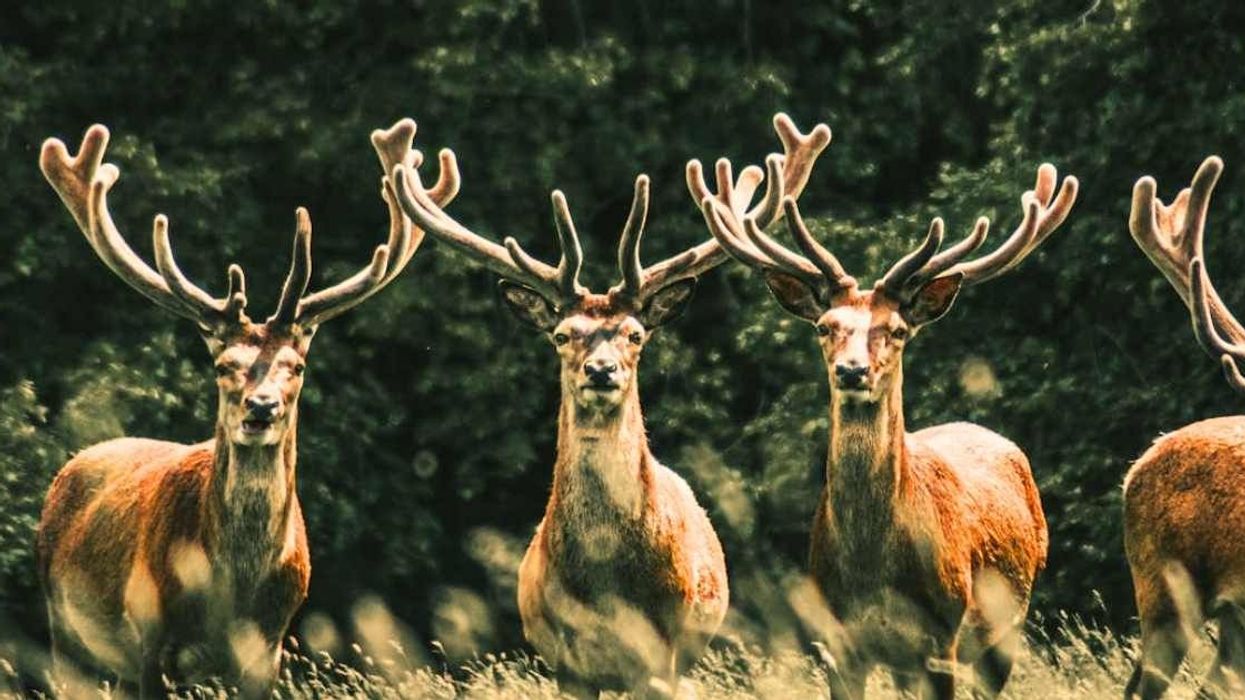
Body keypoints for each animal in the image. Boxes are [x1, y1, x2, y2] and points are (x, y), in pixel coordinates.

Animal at [34, 118, 458, 698]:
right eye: (223, 365)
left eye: (296, 366)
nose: (261, 407)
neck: (231, 595)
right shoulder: (150, 640)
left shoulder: (269, 649)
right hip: (66, 631)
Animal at [392, 114, 830, 697]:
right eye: (561, 335)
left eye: (635, 334)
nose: (601, 370)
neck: (605, 583)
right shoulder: (565, 662)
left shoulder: (661, 653)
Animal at [700, 161, 1077, 698]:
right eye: (825, 325)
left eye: (897, 329)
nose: (852, 370)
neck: (873, 570)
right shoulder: (839, 643)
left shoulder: (943, 638)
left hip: (1007, 626)